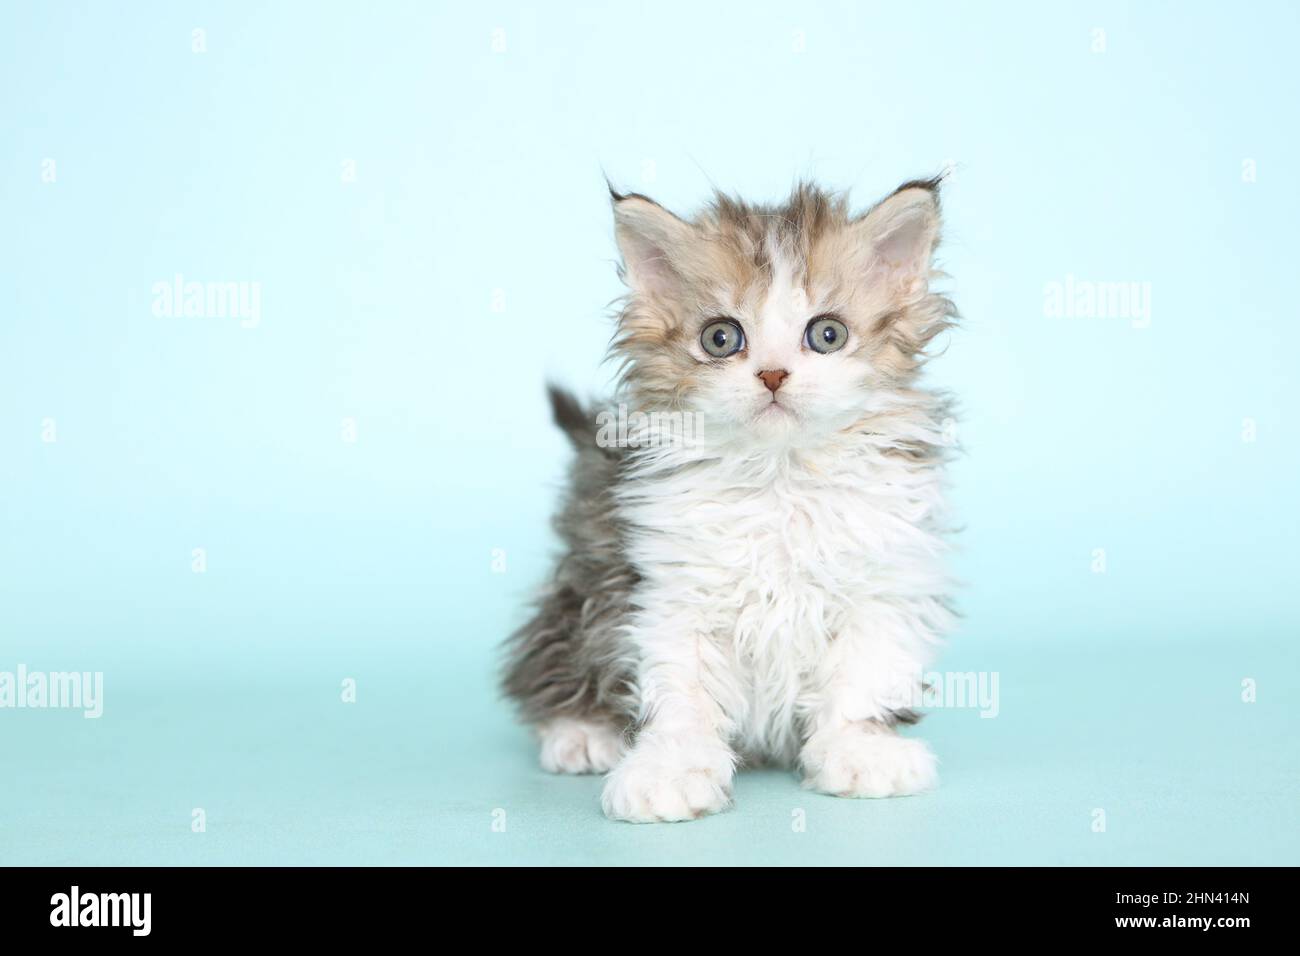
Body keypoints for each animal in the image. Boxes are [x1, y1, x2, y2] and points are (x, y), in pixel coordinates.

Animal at [501, 178, 961, 822]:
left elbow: (860, 676)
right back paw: (581, 732)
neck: (779, 477)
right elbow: (681, 694)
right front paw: (671, 770)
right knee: (546, 660)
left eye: (828, 334)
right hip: (579, 587)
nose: (772, 375)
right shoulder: (666, 592)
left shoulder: (880, 583)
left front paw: (860, 750)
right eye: (721, 338)